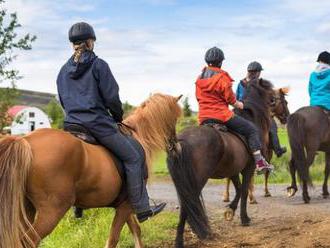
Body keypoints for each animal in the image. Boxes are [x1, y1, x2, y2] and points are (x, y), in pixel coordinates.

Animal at [0, 93, 182, 248]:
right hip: (52, 211)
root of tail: (26, 141)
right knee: (29, 241)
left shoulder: (124, 204)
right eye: (174, 119)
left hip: (25, 208)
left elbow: (135, 230)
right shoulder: (127, 205)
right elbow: (113, 239)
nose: (177, 148)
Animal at [168, 79, 276, 248]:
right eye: (269, 90)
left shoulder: (232, 171)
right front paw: (244, 218)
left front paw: (230, 210)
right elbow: (244, 191)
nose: (275, 101)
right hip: (196, 181)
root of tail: (181, 142)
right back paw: (180, 241)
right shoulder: (248, 168)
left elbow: (239, 189)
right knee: (187, 205)